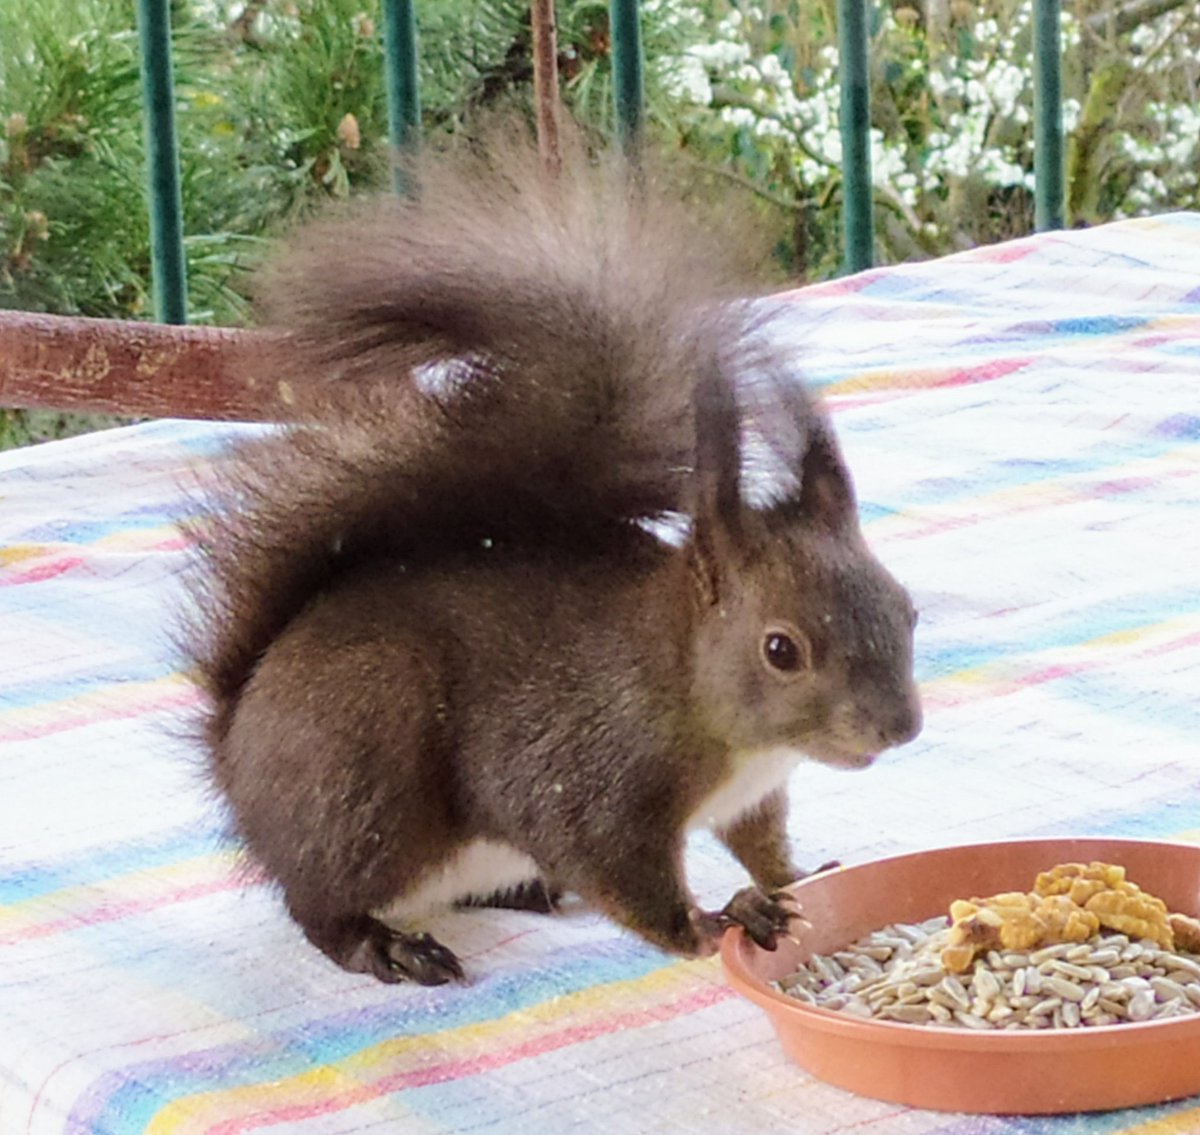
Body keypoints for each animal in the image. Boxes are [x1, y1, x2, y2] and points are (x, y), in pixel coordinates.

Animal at [182, 125, 921, 983]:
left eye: (907, 609)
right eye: (781, 649)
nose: (900, 729)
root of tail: (234, 747)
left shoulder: (752, 796)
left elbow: (759, 841)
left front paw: (795, 880)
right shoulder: (586, 778)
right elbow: (616, 872)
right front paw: (715, 921)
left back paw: (527, 892)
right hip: (360, 785)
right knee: (319, 903)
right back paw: (384, 943)